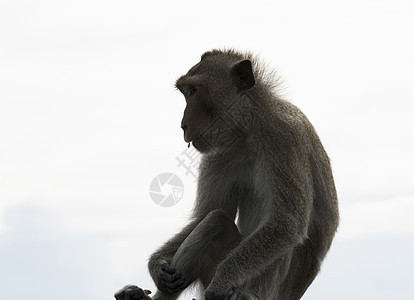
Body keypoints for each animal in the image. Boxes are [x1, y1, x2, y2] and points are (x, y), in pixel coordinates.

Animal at [115, 49, 338, 300]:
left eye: (192, 91)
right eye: (185, 92)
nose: (183, 125)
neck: (249, 132)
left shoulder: (284, 138)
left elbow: (286, 223)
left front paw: (222, 280)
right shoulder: (218, 155)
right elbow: (205, 214)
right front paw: (156, 264)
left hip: (268, 289)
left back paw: (247, 295)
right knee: (215, 220)